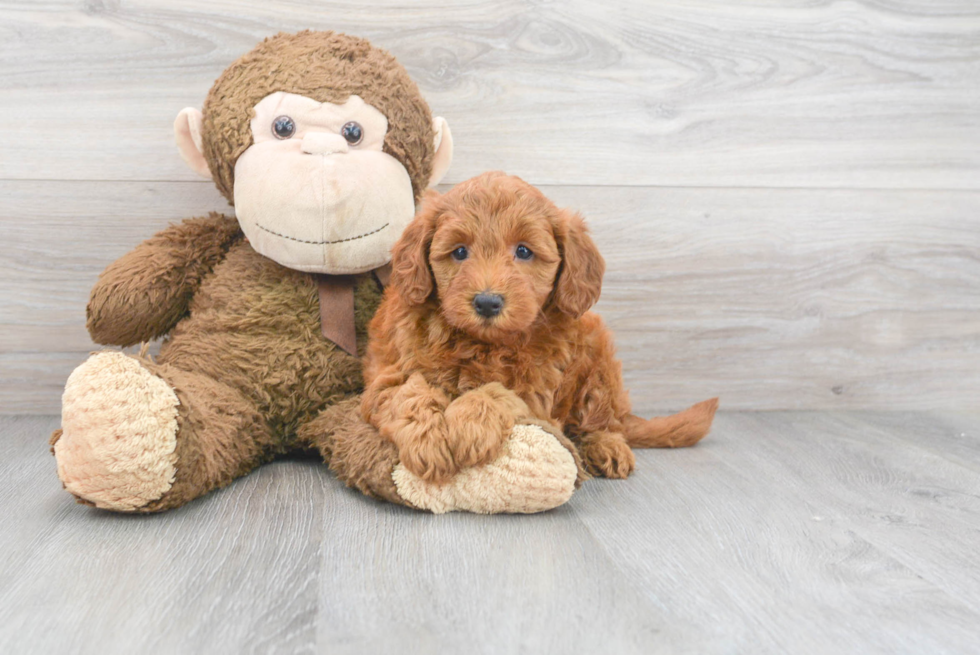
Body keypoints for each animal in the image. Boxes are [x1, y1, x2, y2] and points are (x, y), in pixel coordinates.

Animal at [364, 172, 716, 484]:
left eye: (523, 251)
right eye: (460, 251)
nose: (487, 302)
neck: (484, 344)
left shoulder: (535, 395)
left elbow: (495, 393)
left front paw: (470, 426)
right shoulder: (387, 377)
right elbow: (408, 394)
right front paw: (429, 441)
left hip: (598, 356)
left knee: (604, 420)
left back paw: (607, 446)